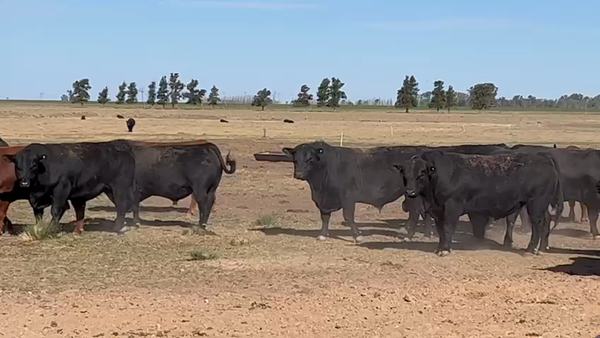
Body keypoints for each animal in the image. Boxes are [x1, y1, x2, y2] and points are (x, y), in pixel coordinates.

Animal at [4, 141, 137, 234]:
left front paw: (51, 229)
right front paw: (40, 228)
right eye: (17, 166)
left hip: (120, 188)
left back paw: (116, 227)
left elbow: (56, 210)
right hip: (109, 190)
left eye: (34, 165)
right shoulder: (37, 198)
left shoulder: (61, 191)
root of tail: (123, 149)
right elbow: (38, 214)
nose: (24, 182)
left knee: (122, 205)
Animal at [104, 142, 236, 227]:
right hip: (211, 189)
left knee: (203, 203)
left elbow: (134, 206)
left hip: (200, 190)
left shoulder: (133, 190)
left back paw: (201, 224)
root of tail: (208, 147)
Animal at [398, 151, 564, 256]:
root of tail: (543, 157)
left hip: (536, 204)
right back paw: (541, 248)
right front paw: (440, 248)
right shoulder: (438, 211)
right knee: (546, 221)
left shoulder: (452, 208)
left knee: (537, 224)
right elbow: (441, 231)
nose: (409, 191)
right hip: (541, 205)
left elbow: (448, 228)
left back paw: (530, 250)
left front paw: (445, 250)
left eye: (421, 173)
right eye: (404, 173)